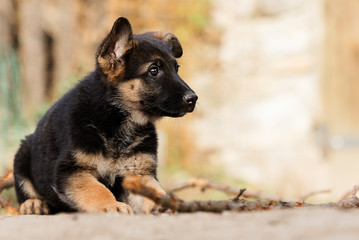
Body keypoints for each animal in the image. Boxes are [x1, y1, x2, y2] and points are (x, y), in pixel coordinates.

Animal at [14, 17, 198, 215]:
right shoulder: (71, 172)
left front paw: (167, 203)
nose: (193, 99)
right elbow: (96, 189)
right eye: (154, 70)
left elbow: (154, 189)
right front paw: (112, 205)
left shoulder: (138, 174)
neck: (118, 119)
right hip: (23, 154)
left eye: (176, 69)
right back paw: (33, 203)